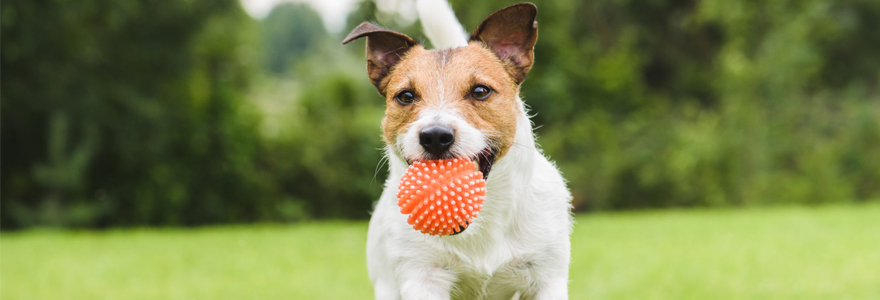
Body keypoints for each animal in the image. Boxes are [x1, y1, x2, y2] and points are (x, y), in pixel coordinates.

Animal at [340, 2, 576, 300]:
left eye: (480, 91)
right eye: (405, 96)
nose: (435, 136)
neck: (480, 223)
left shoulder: (546, 277)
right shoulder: (422, 277)